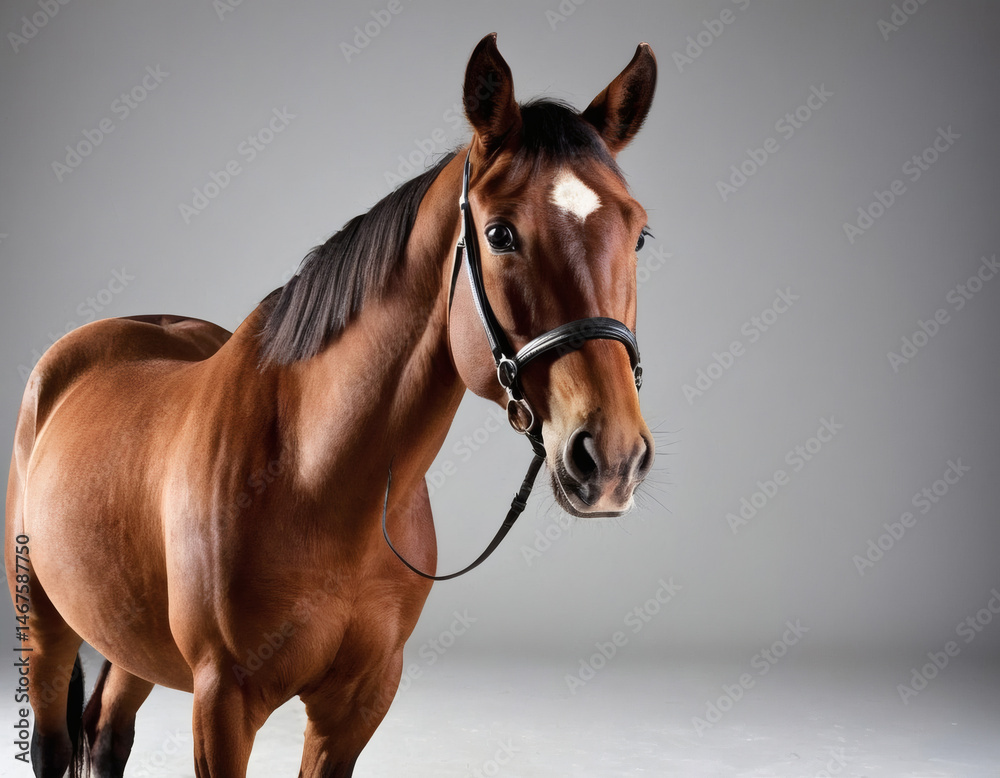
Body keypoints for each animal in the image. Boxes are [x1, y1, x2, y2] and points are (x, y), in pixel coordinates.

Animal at [5, 33, 657, 777]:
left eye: (639, 233)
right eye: (500, 235)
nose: (611, 458)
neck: (319, 481)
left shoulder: (359, 701)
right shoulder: (222, 701)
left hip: (129, 637)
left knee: (108, 733)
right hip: (44, 626)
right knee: (55, 741)